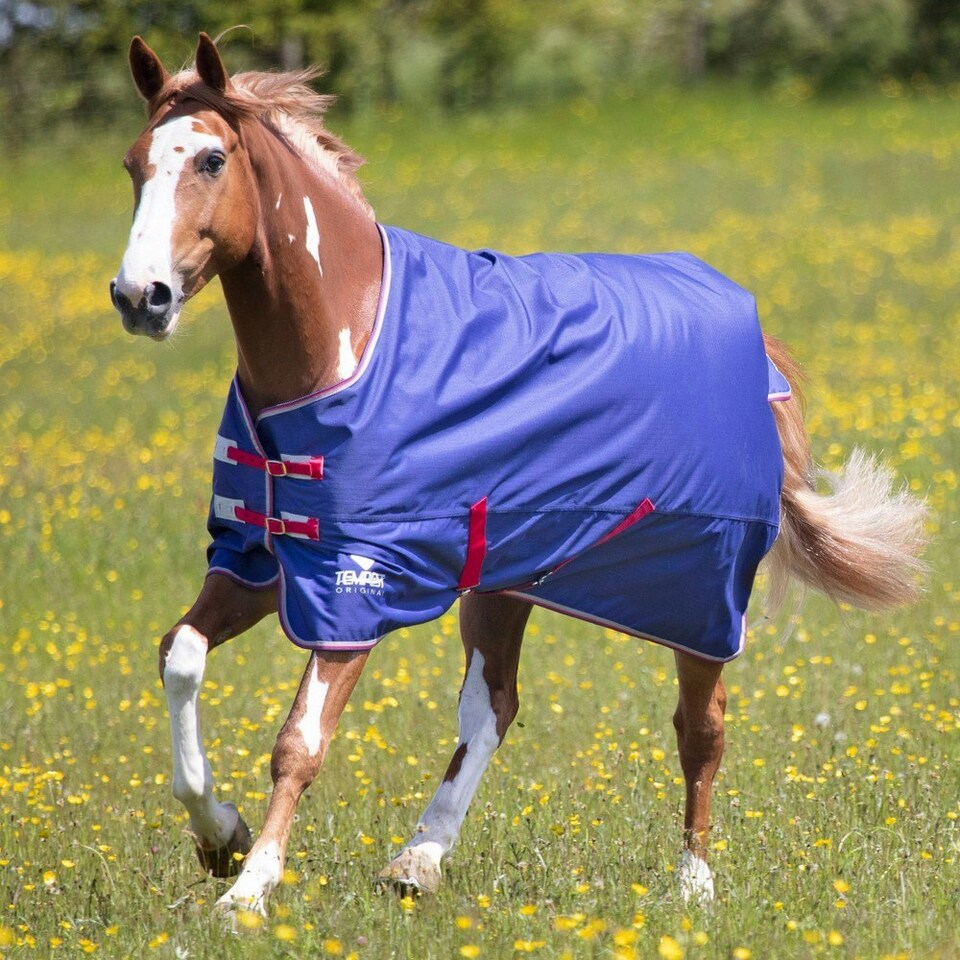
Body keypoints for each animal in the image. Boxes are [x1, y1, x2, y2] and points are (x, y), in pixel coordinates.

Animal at [110, 34, 926, 917]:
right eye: (132, 163)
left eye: (212, 159)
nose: (140, 297)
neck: (343, 342)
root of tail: (754, 339)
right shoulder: (264, 562)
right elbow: (179, 654)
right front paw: (217, 835)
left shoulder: (357, 583)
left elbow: (300, 741)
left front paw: (249, 890)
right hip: (507, 577)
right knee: (494, 706)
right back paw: (419, 859)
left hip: (698, 593)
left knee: (700, 729)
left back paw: (694, 885)